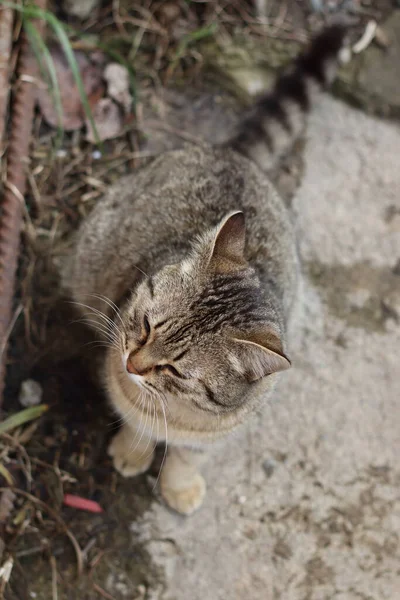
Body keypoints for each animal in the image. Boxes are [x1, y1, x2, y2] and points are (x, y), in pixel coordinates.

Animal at [61, 23, 348, 512]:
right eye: (146, 326)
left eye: (174, 370)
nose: (131, 362)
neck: (180, 412)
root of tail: (233, 154)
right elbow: (137, 422)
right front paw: (132, 452)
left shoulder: (212, 434)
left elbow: (186, 455)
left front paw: (179, 484)